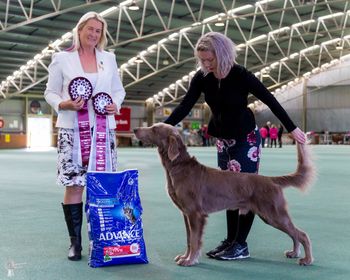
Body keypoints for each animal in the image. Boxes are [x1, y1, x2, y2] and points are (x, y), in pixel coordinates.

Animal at [133, 123, 314, 266]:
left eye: (154, 129)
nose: (134, 129)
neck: (179, 166)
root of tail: (270, 180)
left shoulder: (194, 214)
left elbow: (194, 240)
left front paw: (190, 260)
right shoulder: (186, 214)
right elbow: (188, 240)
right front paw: (184, 257)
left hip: (273, 213)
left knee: (302, 234)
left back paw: (306, 260)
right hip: (270, 215)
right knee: (294, 234)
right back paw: (294, 253)